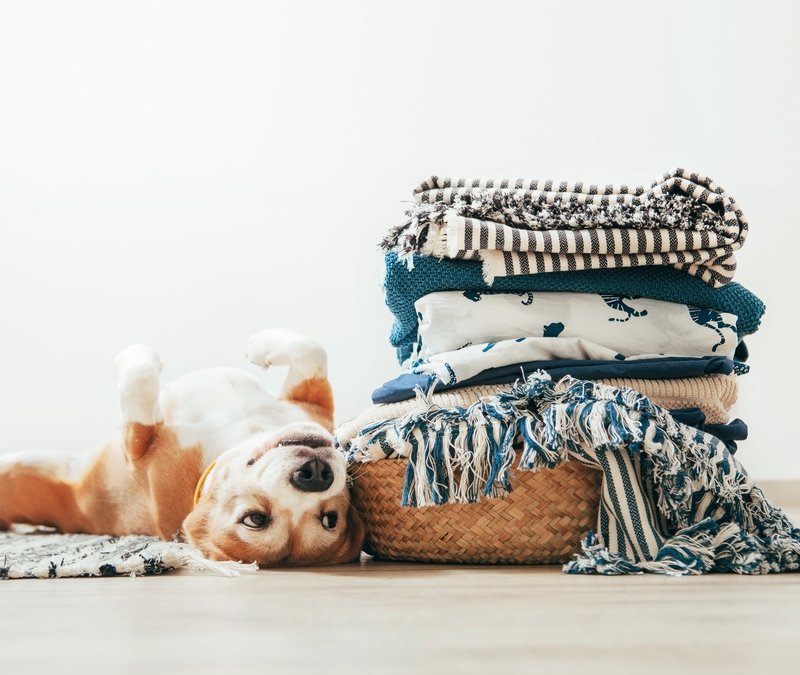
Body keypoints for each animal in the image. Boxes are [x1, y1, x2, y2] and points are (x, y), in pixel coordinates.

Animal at [0, 330, 366, 568]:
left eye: (328, 519)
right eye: (256, 518)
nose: (316, 475)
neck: (237, 435)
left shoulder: (136, 446)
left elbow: (140, 376)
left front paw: (138, 356)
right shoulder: (311, 407)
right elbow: (311, 348)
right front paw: (260, 344)